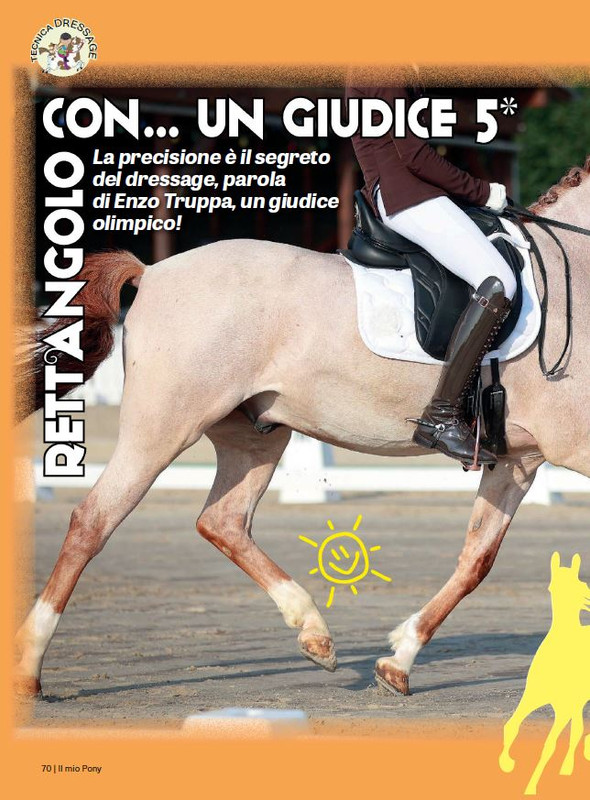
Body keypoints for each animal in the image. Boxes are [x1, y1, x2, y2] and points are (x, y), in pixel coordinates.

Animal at [15, 157, 590, 700]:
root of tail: (152, 273)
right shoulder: (567, 450)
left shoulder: (517, 460)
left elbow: (476, 561)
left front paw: (398, 662)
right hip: (163, 425)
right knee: (93, 521)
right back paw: (29, 667)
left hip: (255, 435)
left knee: (222, 520)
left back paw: (314, 632)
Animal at [499, 552, 590, 795]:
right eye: (553, 587)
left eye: (581, 583)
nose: (589, 600)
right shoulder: (532, 698)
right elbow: (511, 725)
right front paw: (507, 763)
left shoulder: (564, 708)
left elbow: (549, 744)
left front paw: (531, 787)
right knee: (577, 730)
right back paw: (568, 768)